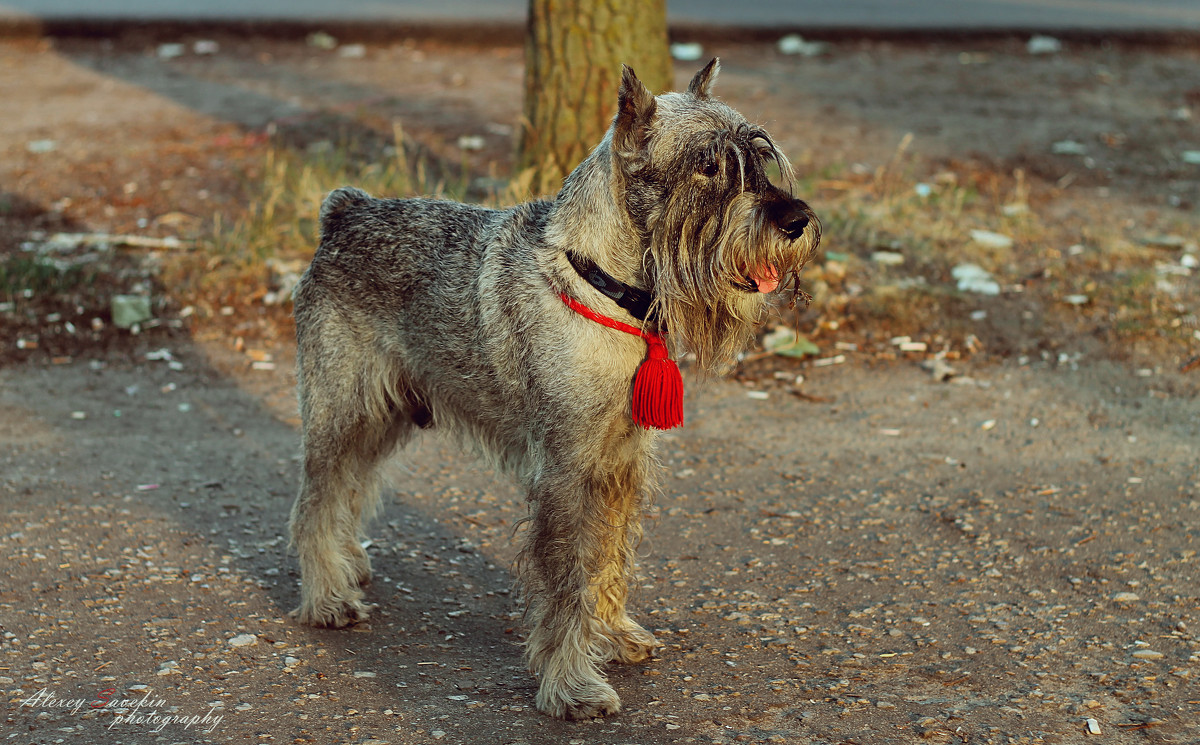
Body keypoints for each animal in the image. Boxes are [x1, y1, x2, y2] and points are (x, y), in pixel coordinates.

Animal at [288, 60, 816, 719]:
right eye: (708, 167)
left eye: (760, 156)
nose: (797, 220)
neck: (602, 285)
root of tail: (344, 211)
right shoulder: (566, 471)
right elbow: (567, 579)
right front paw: (571, 685)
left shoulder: (618, 465)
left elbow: (608, 559)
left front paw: (612, 635)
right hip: (344, 410)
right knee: (317, 499)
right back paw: (327, 598)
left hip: (386, 415)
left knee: (351, 489)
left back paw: (348, 566)